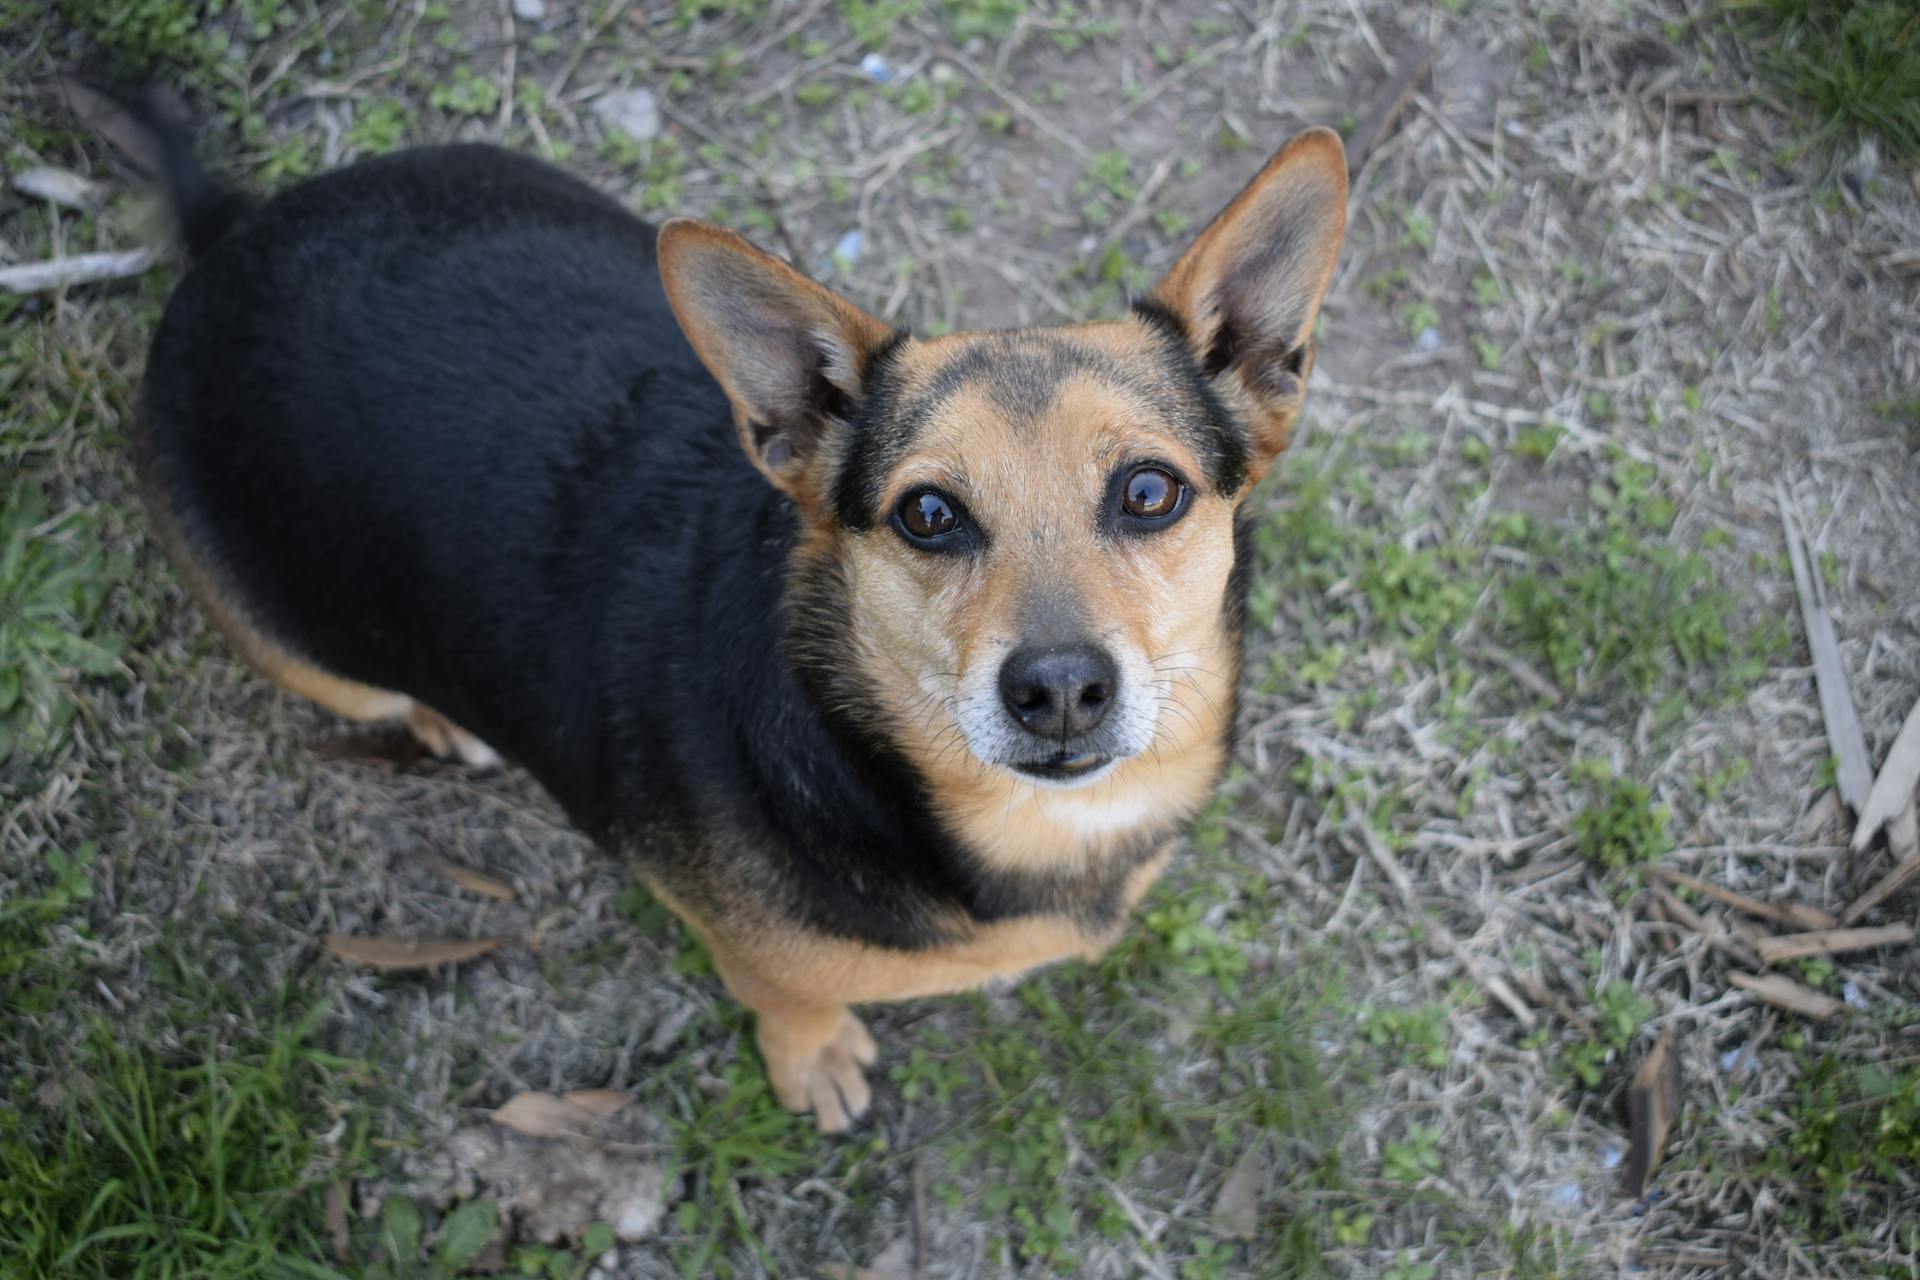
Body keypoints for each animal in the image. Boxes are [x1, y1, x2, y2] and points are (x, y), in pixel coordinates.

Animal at [135, 110, 1344, 1128]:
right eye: (929, 513)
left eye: (1149, 491)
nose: (1059, 690)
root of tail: (236, 233)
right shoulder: (743, 944)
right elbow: (782, 994)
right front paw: (813, 1059)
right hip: (311, 652)